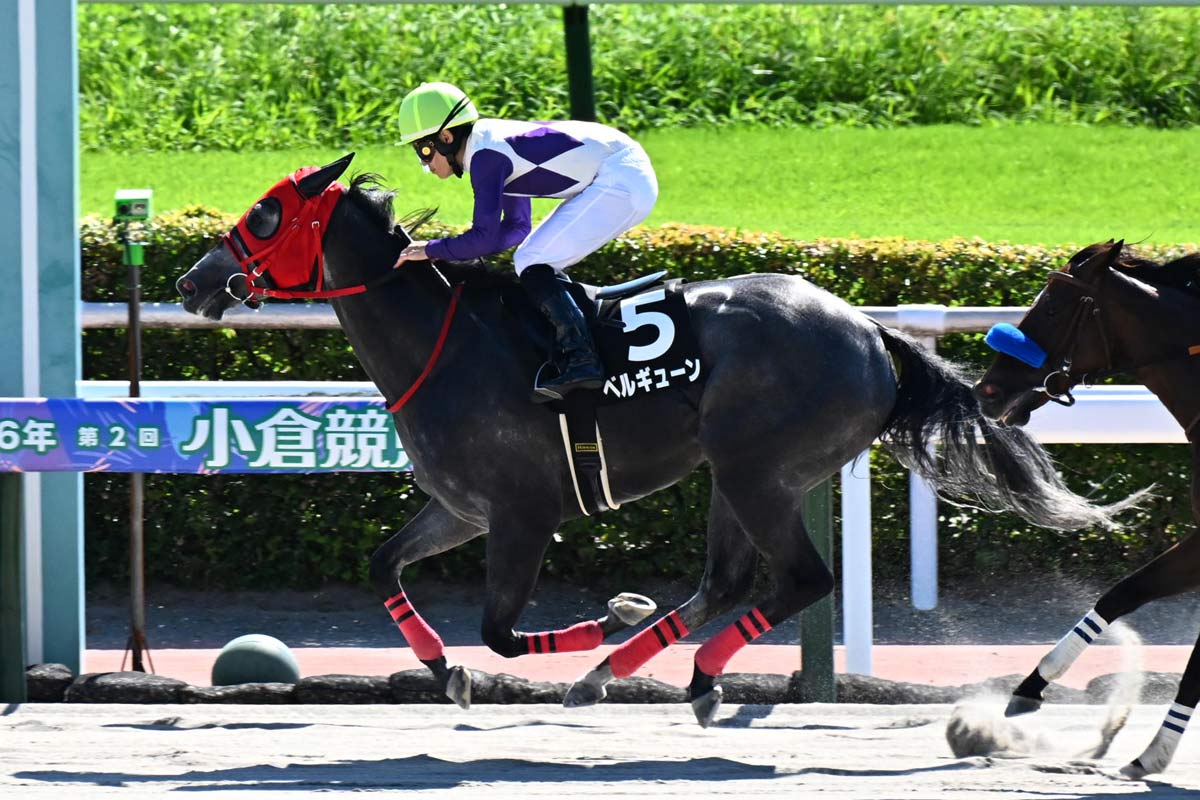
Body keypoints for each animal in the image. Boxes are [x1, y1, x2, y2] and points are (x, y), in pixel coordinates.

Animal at [176, 153, 1138, 727]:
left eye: (266, 214)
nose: (193, 281)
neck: (442, 346)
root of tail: (868, 330)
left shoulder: (523, 514)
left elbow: (500, 631)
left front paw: (602, 617)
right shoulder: (460, 508)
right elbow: (385, 568)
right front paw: (444, 671)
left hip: (758, 471)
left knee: (801, 579)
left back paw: (672, 670)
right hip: (738, 474)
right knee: (730, 581)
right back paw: (639, 669)